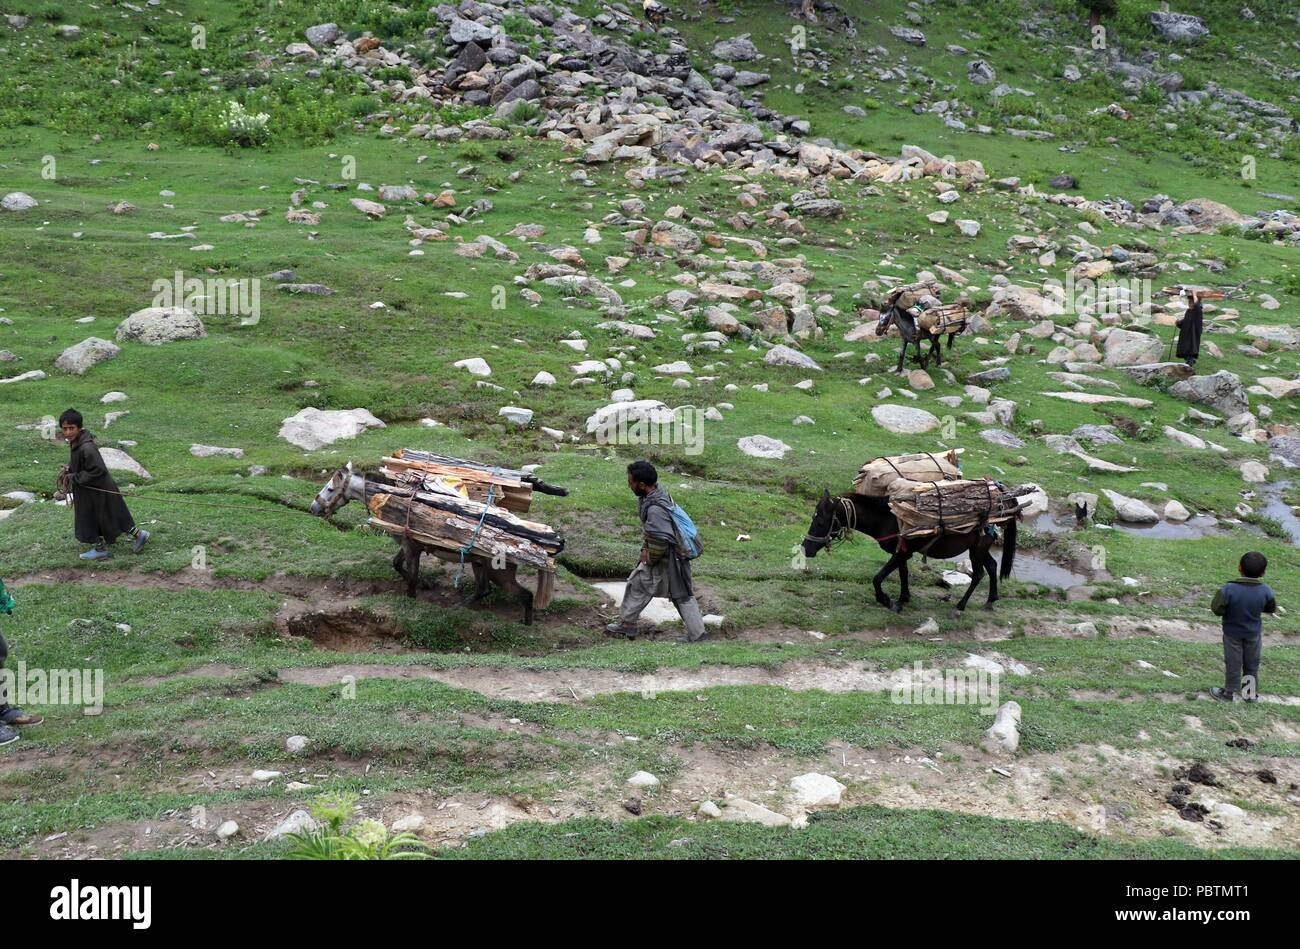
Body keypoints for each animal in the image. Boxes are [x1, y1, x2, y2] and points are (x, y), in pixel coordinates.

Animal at [309, 462, 553, 624]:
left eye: (330, 489)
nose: (313, 508)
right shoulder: (408, 544)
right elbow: (397, 565)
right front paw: (426, 584)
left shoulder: (411, 548)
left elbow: (410, 576)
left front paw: (413, 597)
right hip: (479, 564)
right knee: (483, 590)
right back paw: (460, 607)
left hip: (499, 571)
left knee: (525, 595)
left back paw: (526, 624)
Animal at [800, 488, 1013, 613]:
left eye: (820, 522)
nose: (806, 549)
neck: (886, 517)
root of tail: (1005, 504)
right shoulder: (901, 552)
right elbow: (903, 574)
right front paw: (902, 600)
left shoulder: (901, 553)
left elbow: (877, 578)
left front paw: (886, 600)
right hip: (978, 548)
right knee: (992, 566)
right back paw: (990, 601)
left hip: (977, 549)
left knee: (978, 574)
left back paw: (960, 606)